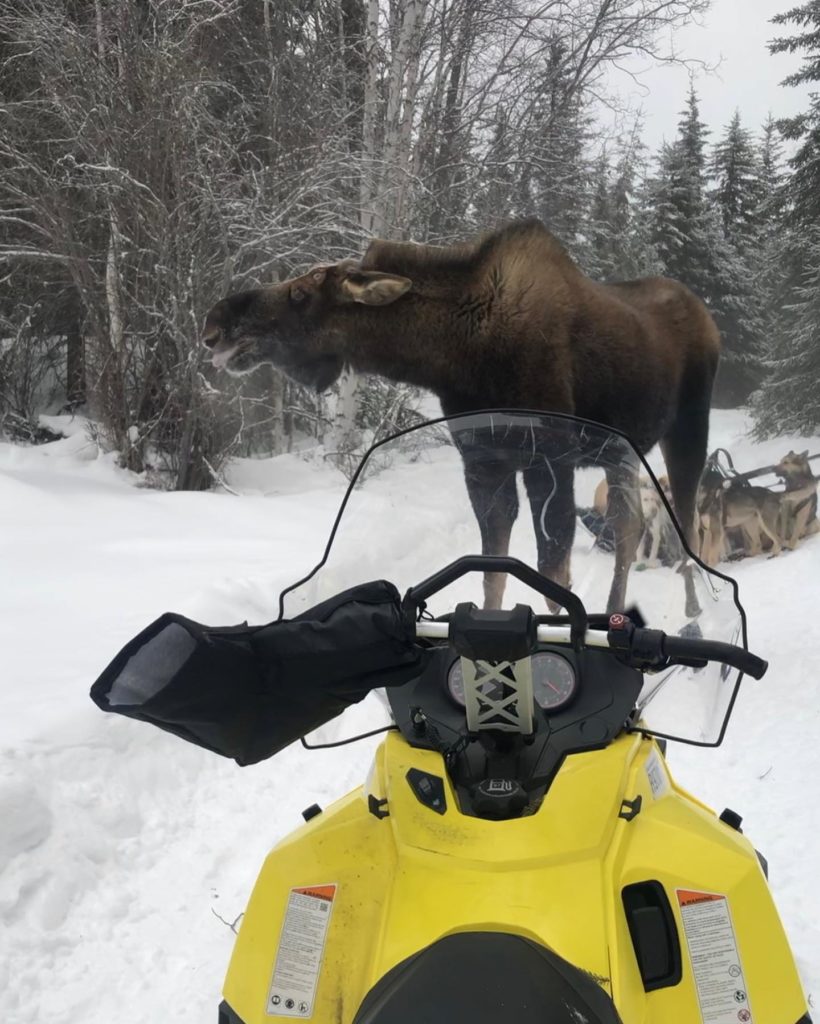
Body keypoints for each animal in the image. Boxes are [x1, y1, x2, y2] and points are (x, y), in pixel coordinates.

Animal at [201, 218, 720, 614]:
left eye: (301, 292)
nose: (214, 321)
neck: (457, 355)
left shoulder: (549, 462)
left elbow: (554, 581)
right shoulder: (484, 466)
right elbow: (494, 574)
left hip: (687, 431)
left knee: (688, 526)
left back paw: (695, 609)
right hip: (621, 452)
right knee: (628, 529)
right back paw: (617, 611)